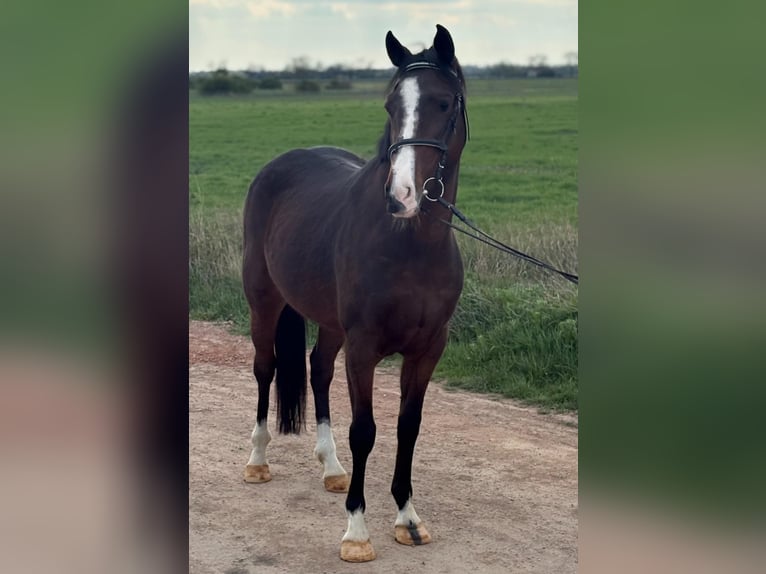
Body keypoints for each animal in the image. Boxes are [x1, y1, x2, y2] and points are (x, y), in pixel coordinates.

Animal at [242, 24, 469, 563]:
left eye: (444, 102)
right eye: (390, 104)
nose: (401, 196)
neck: (409, 244)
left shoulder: (429, 349)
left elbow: (408, 426)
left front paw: (408, 519)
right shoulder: (364, 347)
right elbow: (365, 430)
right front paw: (357, 533)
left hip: (329, 323)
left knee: (318, 369)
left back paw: (331, 468)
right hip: (263, 300)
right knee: (265, 368)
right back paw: (258, 460)